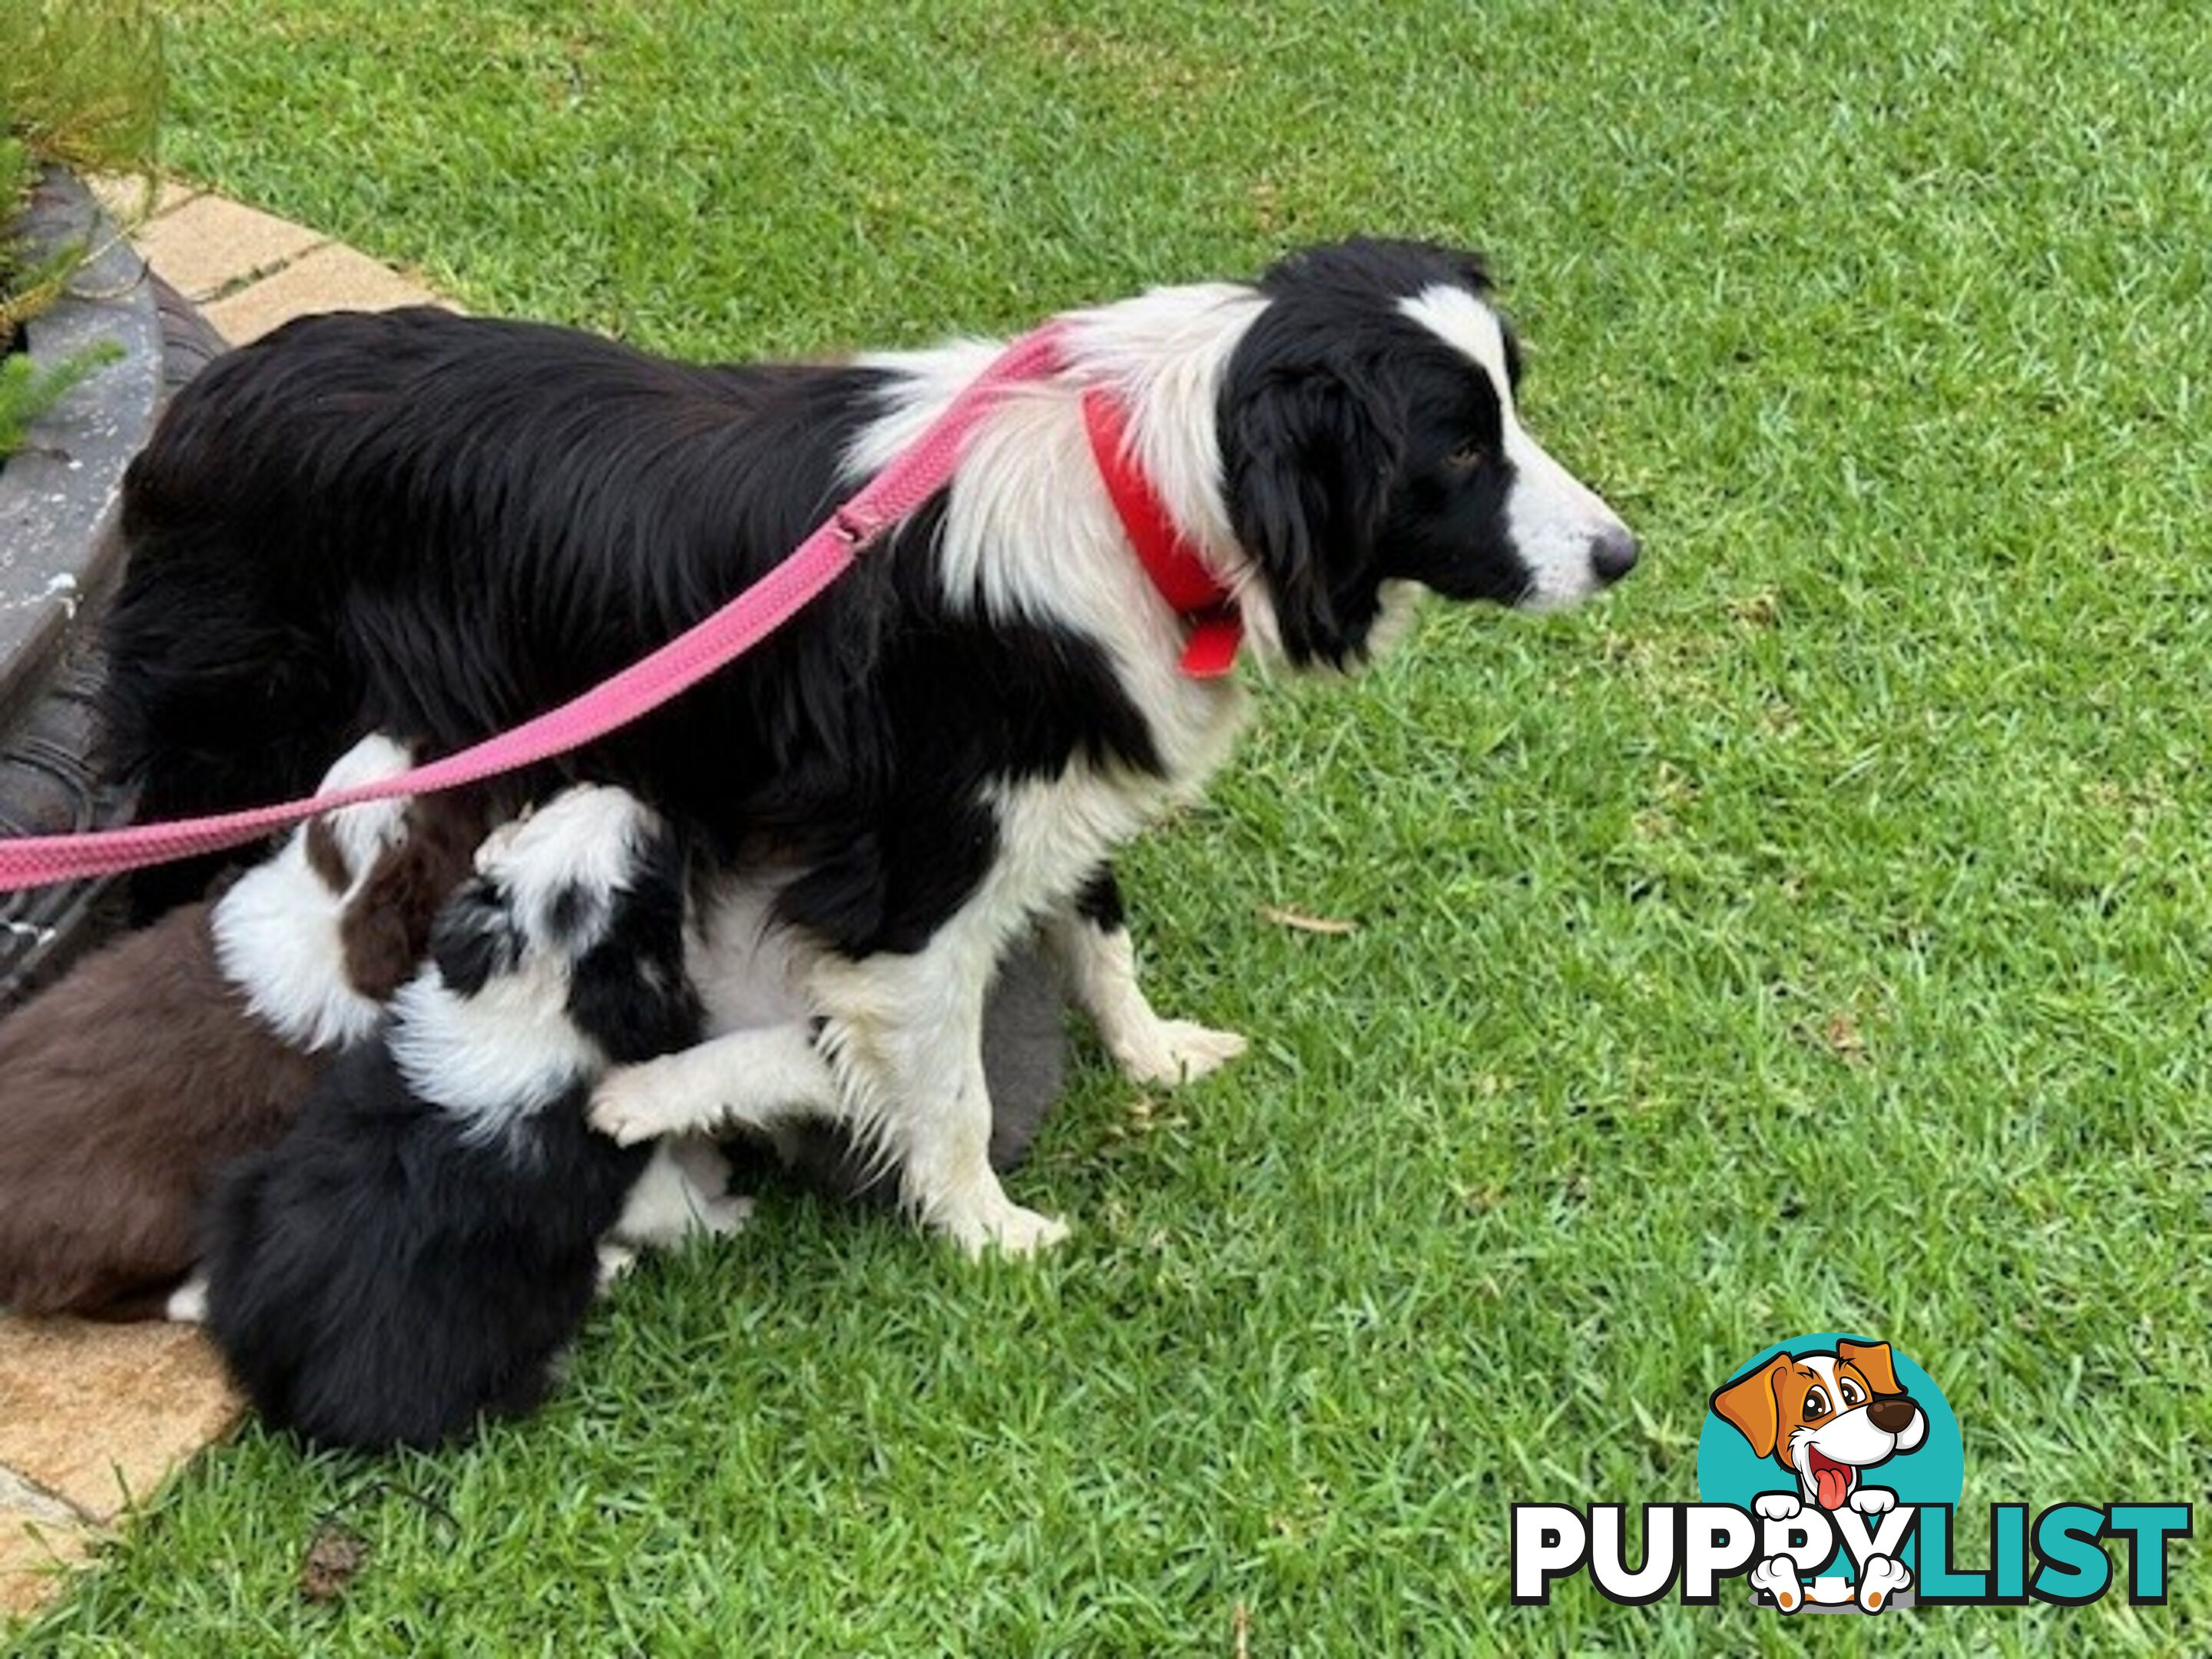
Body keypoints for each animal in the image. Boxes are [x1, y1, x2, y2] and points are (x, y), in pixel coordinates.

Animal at [0, 738, 479, 1327]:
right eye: (450, 800)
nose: (408, 736)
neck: (334, 896)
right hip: (141, 1212)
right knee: (93, 1297)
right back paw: (195, 1294)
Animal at [104, 240, 1645, 1256]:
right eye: (1459, 455)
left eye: (1512, 408)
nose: (1623, 554)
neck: (1148, 486)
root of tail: (196, 401)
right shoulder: (911, 873)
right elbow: (949, 1089)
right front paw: (992, 1239)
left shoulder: (1048, 784)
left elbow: (1099, 930)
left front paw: (1152, 1055)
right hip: (233, 732)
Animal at [199, 787, 831, 1451]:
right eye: (650, 862)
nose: (619, 793)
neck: (533, 992)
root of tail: (279, 1393)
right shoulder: (613, 1172)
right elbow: (676, 1208)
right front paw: (732, 1216)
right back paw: (610, 1268)